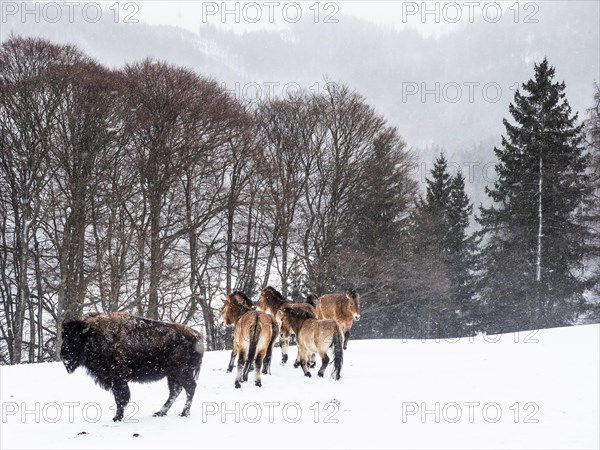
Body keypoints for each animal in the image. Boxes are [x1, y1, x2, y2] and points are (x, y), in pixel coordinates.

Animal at [59, 312, 204, 422]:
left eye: (76, 338)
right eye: (64, 337)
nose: (64, 356)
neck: (95, 335)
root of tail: (197, 336)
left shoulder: (118, 378)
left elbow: (121, 398)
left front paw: (117, 418)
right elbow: (120, 397)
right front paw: (117, 416)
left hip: (182, 372)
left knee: (190, 388)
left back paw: (184, 413)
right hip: (172, 374)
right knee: (175, 391)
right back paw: (160, 412)